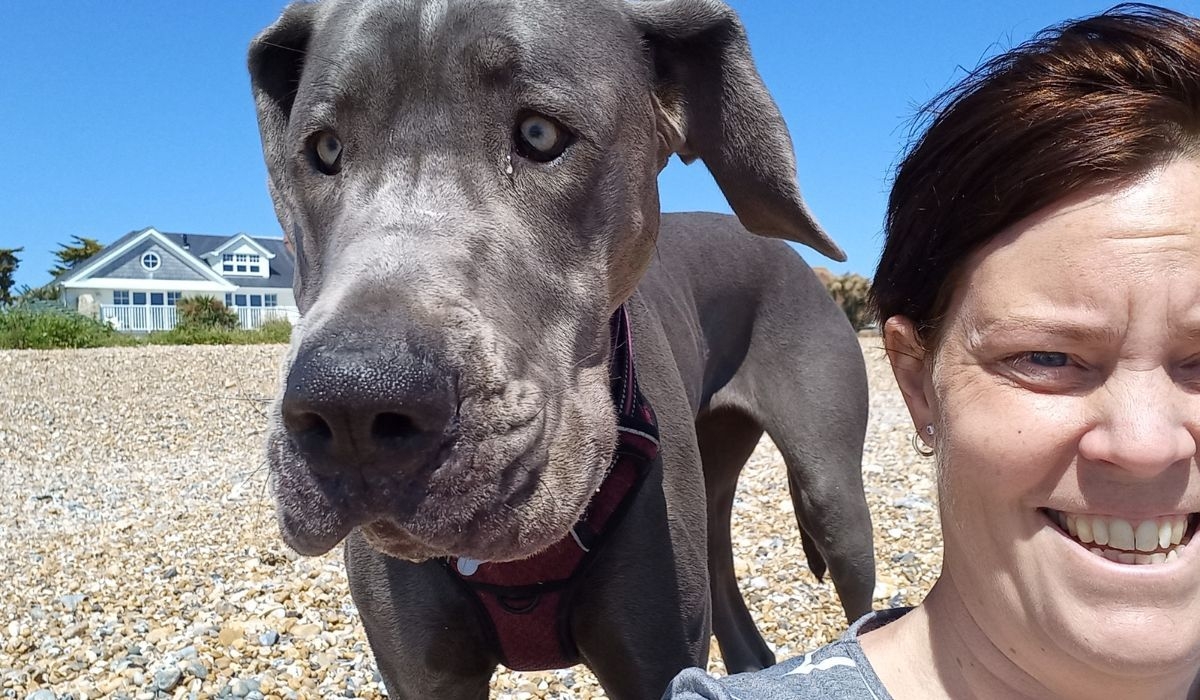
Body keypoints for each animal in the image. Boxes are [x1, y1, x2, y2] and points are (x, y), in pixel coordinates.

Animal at [250, 1, 873, 696]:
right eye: (325, 149)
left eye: (541, 134)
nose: (352, 408)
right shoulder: (423, 673)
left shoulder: (655, 656)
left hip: (832, 496)